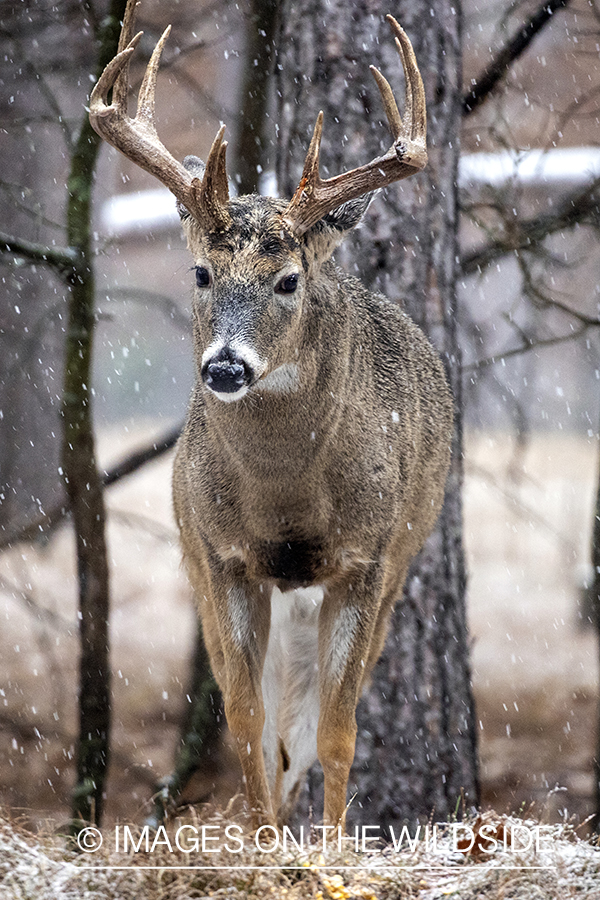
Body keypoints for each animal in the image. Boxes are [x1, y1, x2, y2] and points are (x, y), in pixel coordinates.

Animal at [91, 0, 452, 828]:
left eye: (288, 280)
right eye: (199, 272)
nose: (225, 366)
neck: (287, 507)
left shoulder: (368, 559)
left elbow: (337, 732)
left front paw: (328, 849)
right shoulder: (218, 555)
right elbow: (246, 721)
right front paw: (264, 843)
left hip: (403, 557)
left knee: (311, 723)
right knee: (271, 722)